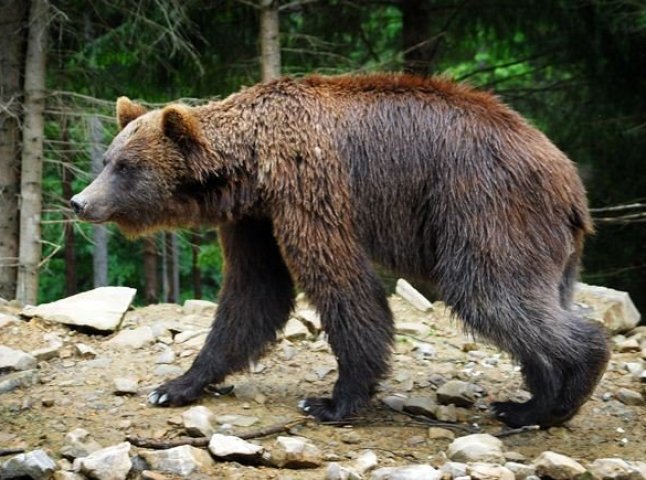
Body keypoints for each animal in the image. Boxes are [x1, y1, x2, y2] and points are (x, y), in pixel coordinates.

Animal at [72, 74, 612, 428]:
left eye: (126, 167)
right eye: (108, 160)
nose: (80, 201)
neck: (250, 169)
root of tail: (570, 180)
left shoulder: (308, 186)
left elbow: (341, 286)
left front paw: (332, 401)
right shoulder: (255, 221)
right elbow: (252, 296)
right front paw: (175, 386)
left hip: (484, 207)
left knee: (490, 292)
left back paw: (565, 391)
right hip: (542, 240)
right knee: (532, 301)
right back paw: (526, 404)